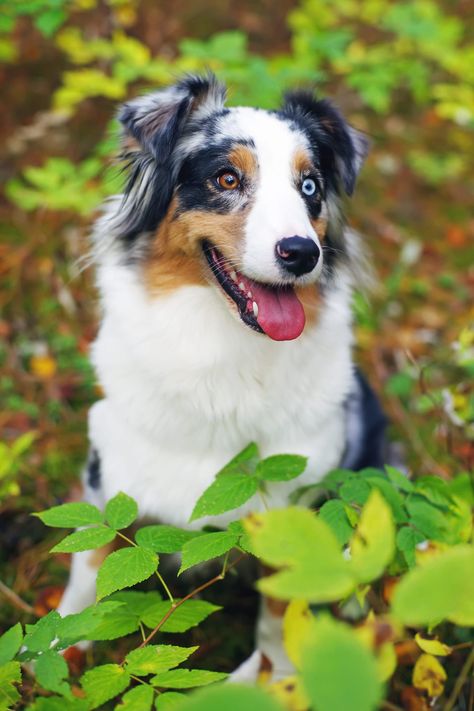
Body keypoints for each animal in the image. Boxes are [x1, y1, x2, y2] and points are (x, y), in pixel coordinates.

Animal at [57, 75, 386, 680]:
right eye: (226, 179)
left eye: (310, 187)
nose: (302, 253)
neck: (225, 351)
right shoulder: (109, 469)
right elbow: (87, 569)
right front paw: (50, 649)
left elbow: (281, 617)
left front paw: (271, 678)